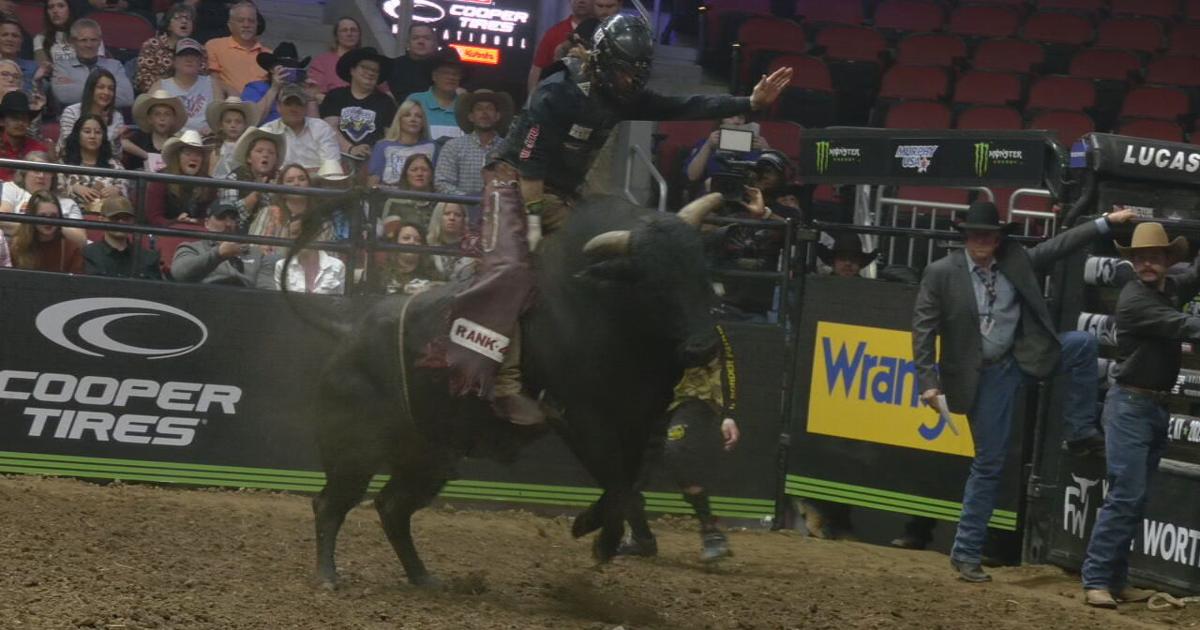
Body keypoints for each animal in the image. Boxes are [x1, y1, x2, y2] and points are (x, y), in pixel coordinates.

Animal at [297, 192, 724, 589]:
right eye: (652, 282)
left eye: (702, 270)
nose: (703, 347)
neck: (602, 308)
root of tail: (348, 334)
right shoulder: (579, 419)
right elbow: (618, 483)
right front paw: (599, 538)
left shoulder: (640, 422)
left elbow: (628, 482)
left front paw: (593, 525)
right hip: (354, 451)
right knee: (330, 504)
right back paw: (327, 575)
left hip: (429, 456)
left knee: (392, 508)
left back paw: (422, 577)